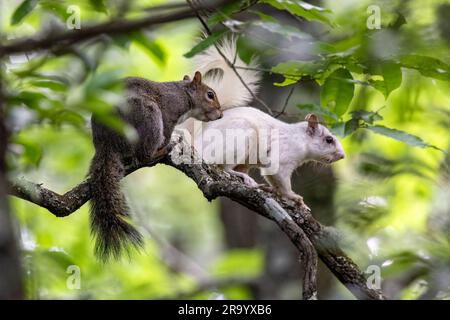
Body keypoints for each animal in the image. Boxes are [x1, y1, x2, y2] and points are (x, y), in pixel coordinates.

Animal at [89, 71, 222, 262]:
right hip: (148, 115)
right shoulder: (169, 111)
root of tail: (105, 142)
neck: (184, 93)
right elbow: (167, 130)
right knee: (144, 155)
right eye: (210, 95)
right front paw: (169, 140)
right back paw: (162, 149)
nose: (221, 114)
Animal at [176, 38, 344, 210]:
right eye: (329, 140)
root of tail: (197, 139)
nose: (342, 155)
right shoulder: (283, 156)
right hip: (238, 138)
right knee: (224, 167)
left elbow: (275, 183)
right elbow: (278, 177)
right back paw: (245, 178)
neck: (300, 139)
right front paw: (294, 197)